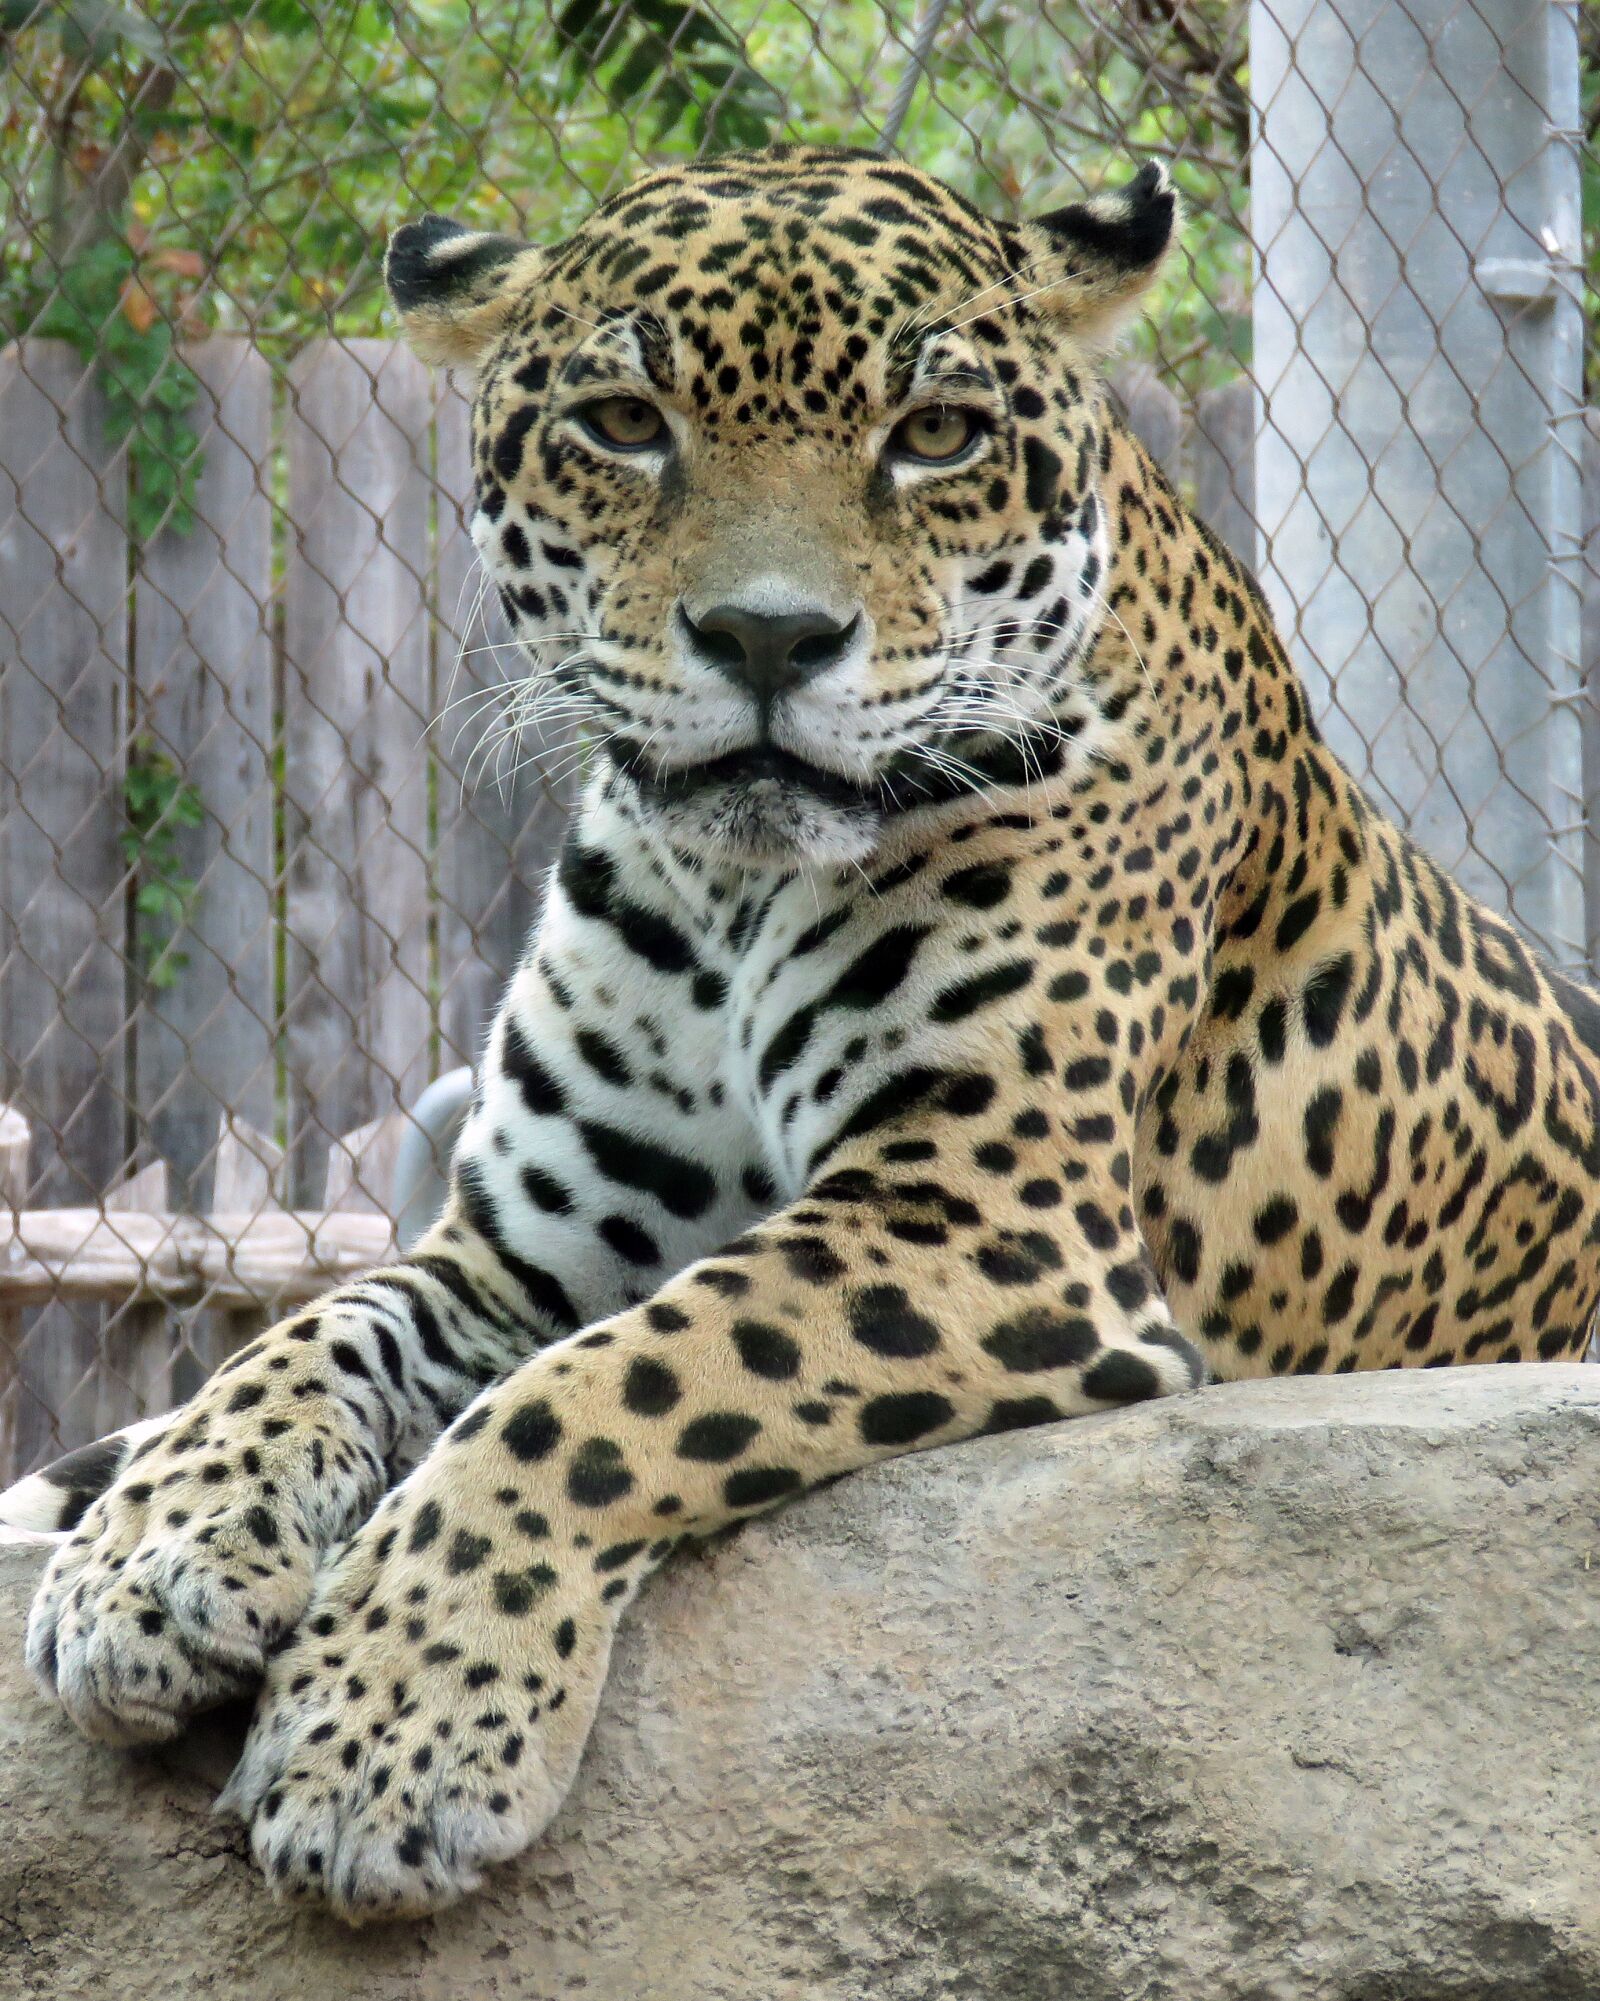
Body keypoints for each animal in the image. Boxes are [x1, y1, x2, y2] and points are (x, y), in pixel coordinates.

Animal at [5, 144, 1599, 1924]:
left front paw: (391, 1728)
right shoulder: (523, 1251)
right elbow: (310, 1334)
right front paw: (153, 1555)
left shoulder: (983, 1213)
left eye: (939, 434)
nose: (770, 639)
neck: (733, 891)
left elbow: (605, 1388)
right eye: (625, 422)